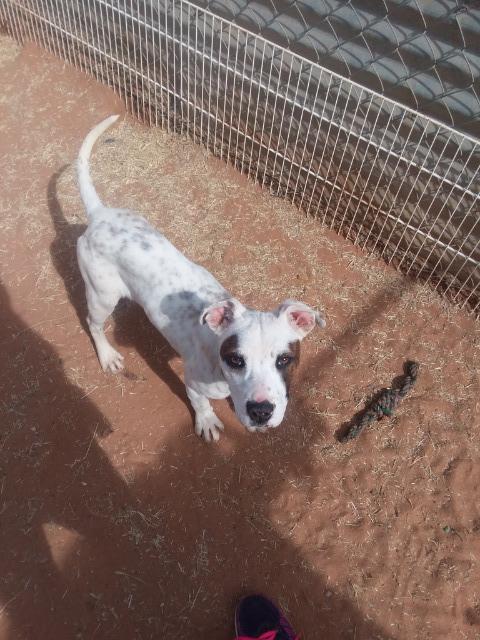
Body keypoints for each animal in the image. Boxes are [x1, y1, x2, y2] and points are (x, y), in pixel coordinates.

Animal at [76, 116, 326, 440]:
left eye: (284, 360)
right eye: (236, 360)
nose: (260, 411)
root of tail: (100, 215)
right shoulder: (194, 383)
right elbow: (200, 403)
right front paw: (207, 421)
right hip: (101, 295)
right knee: (93, 323)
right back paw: (107, 355)